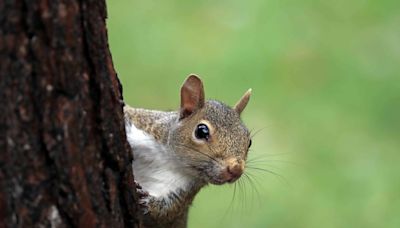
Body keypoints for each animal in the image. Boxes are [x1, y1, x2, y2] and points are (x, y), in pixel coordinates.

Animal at [123, 74, 252, 227]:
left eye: (249, 142)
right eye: (201, 131)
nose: (236, 169)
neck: (169, 159)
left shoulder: (184, 191)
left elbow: (164, 213)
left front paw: (147, 200)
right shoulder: (144, 125)